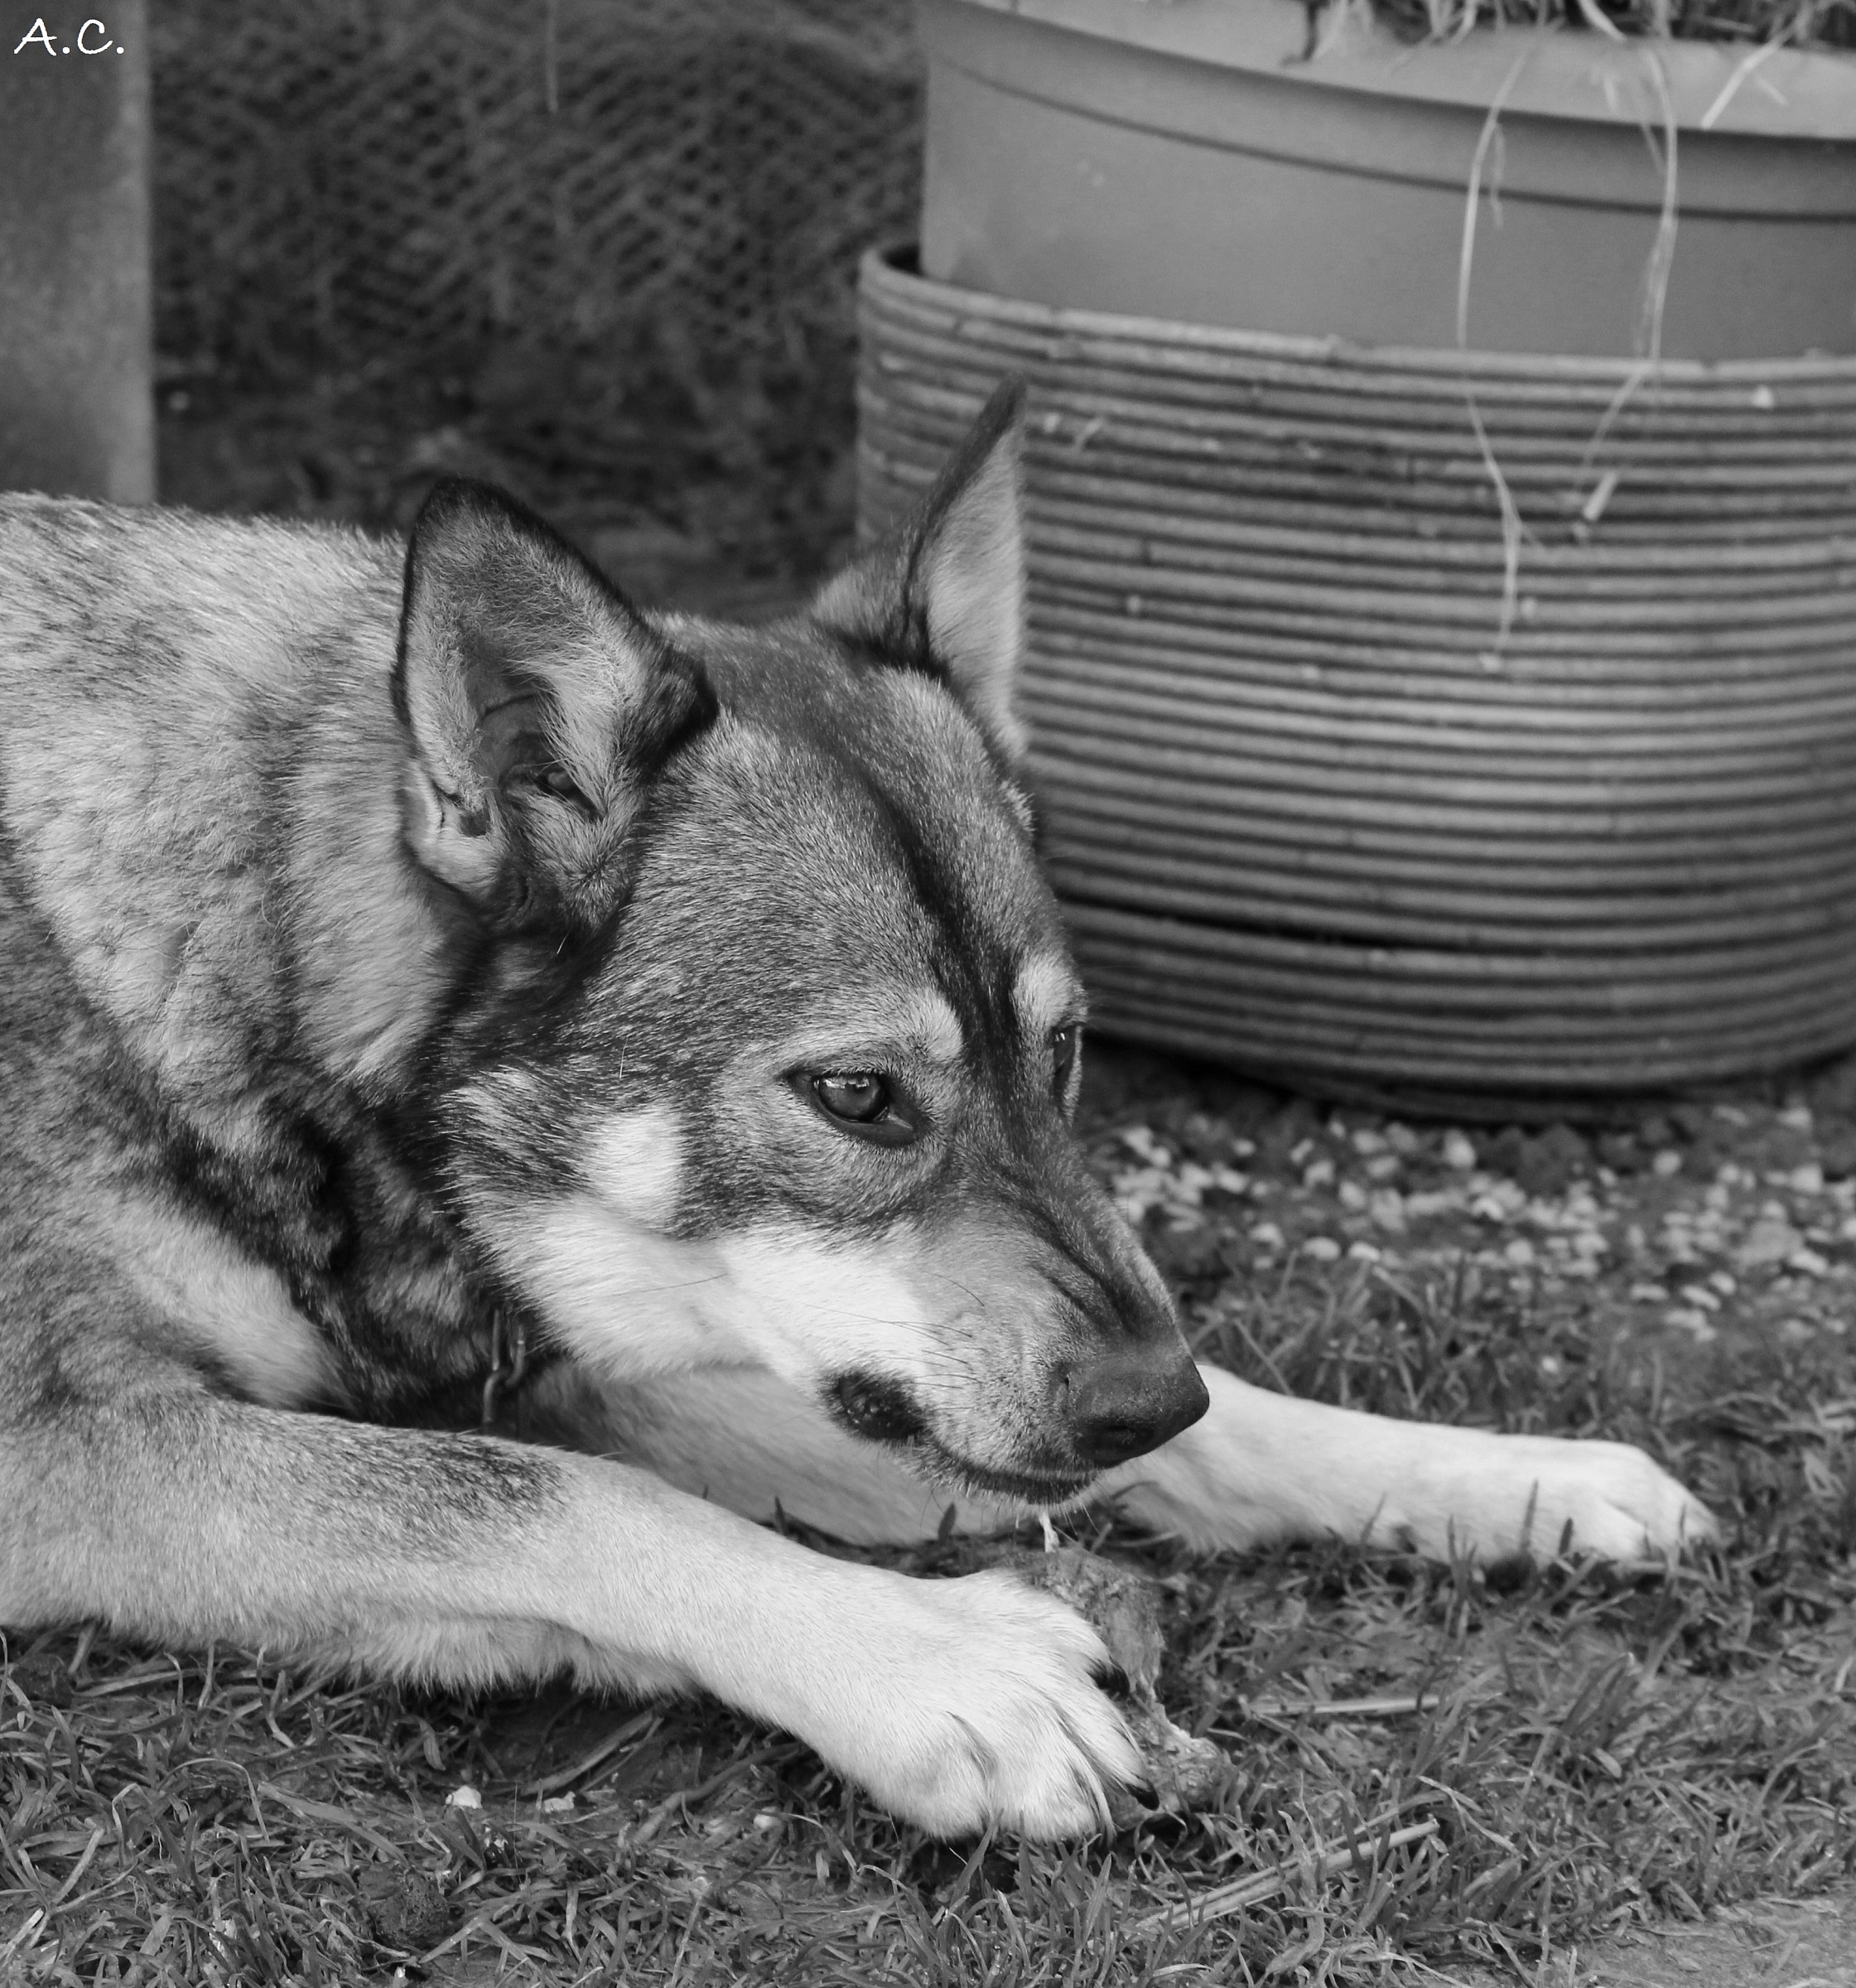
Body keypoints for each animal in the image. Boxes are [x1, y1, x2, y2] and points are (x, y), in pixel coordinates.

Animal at [0, 384, 1713, 1838]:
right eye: (857, 1096)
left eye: (1064, 1052)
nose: (1144, 1398)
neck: (247, 970)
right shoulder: (74, 1455)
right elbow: (552, 1500)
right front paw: (945, 1668)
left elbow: (1241, 1427)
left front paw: (1521, 1481)